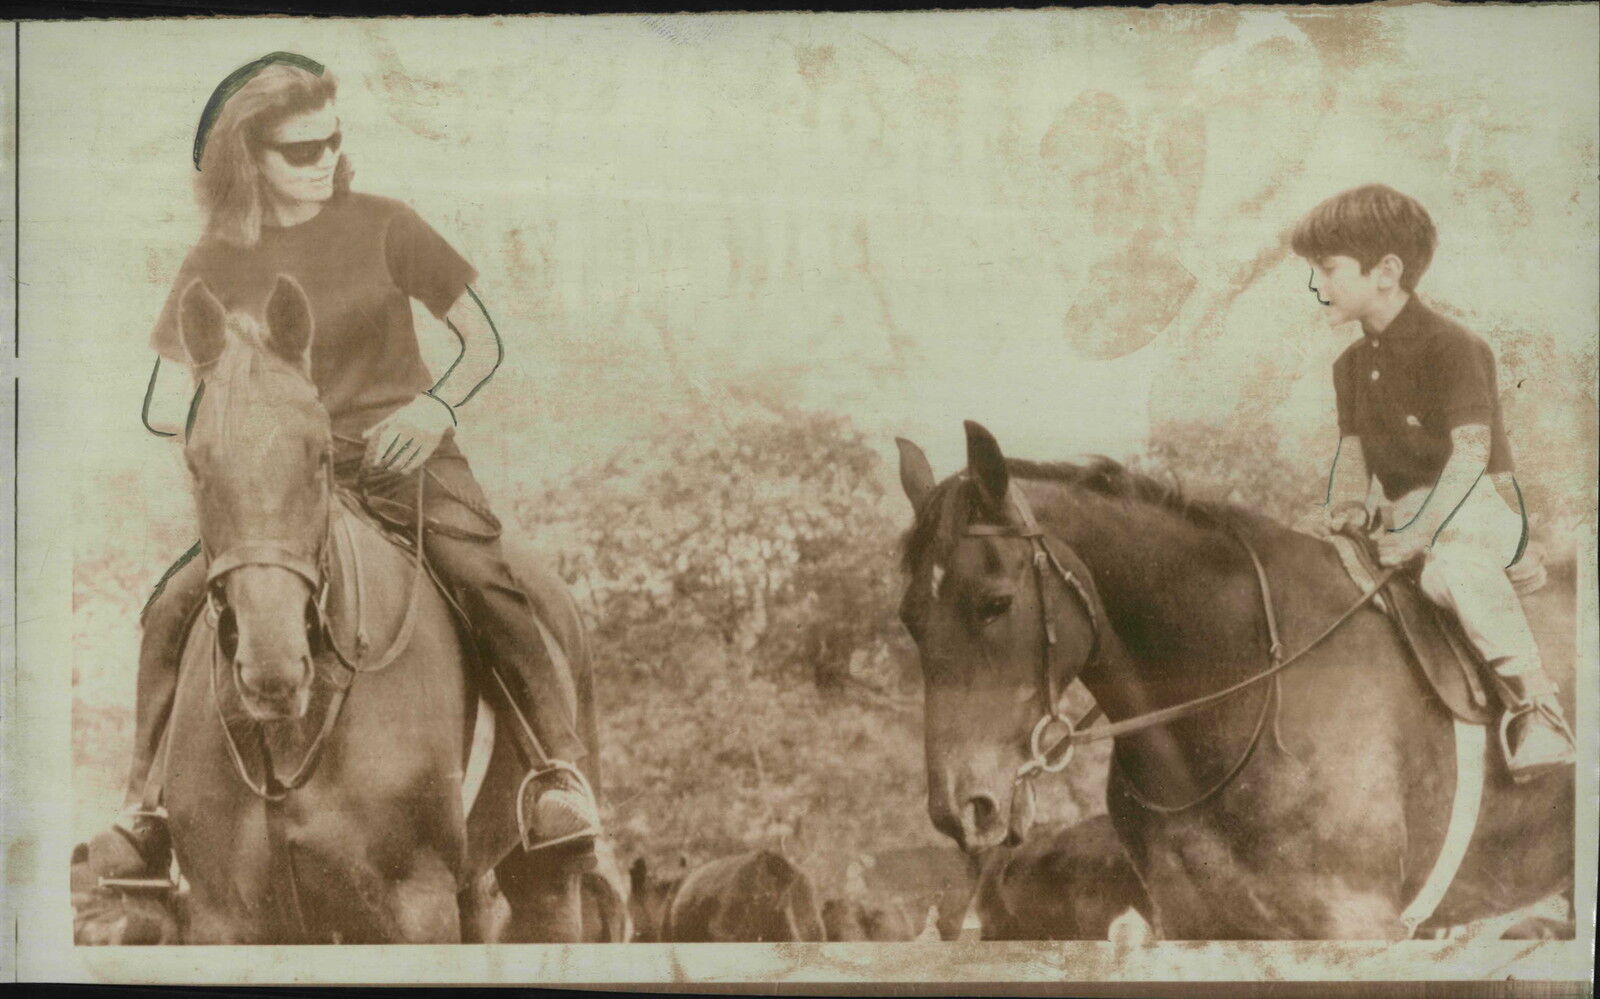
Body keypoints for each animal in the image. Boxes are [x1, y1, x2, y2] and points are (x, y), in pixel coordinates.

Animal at [160, 278, 595, 941]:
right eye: (195, 466)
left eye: (319, 455)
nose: (273, 672)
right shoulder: (225, 917)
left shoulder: (415, 904)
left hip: (541, 878)